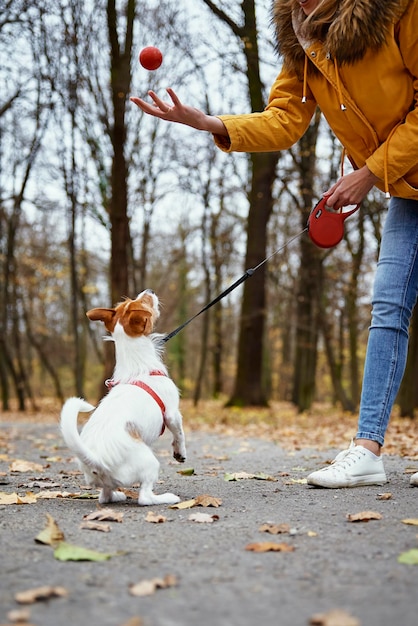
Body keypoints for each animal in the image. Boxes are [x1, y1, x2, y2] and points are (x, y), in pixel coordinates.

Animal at [60, 290, 186, 504]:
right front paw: (180, 453)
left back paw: (117, 496)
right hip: (151, 464)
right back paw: (167, 498)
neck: (137, 365)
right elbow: (179, 434)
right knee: (145, 497)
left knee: (105, 496)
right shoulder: (172, 414)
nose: (149, 291)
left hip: (105, 484)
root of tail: (96, 460)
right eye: (144, 301)